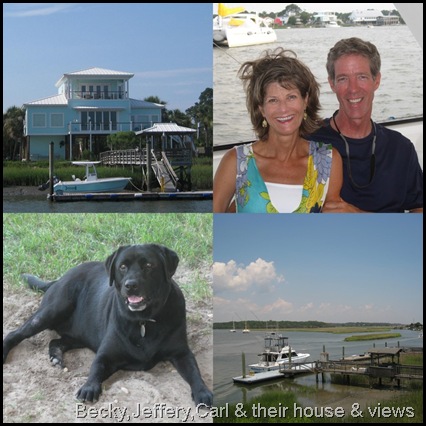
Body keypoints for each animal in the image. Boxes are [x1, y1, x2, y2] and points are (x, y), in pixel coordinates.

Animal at [1, 245, 211, 404]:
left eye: (149, 265)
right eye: (123, 267)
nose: (130, 285)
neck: (144, 320)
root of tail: (59, 279)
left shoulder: (181, 353)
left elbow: (194, 371)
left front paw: (202, 392)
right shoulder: (106, 354)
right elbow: (96, 367)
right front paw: (89, 388)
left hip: (78, 335)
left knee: (56, 342)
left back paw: (56, 357)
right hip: (52, 310)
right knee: (14, 333)